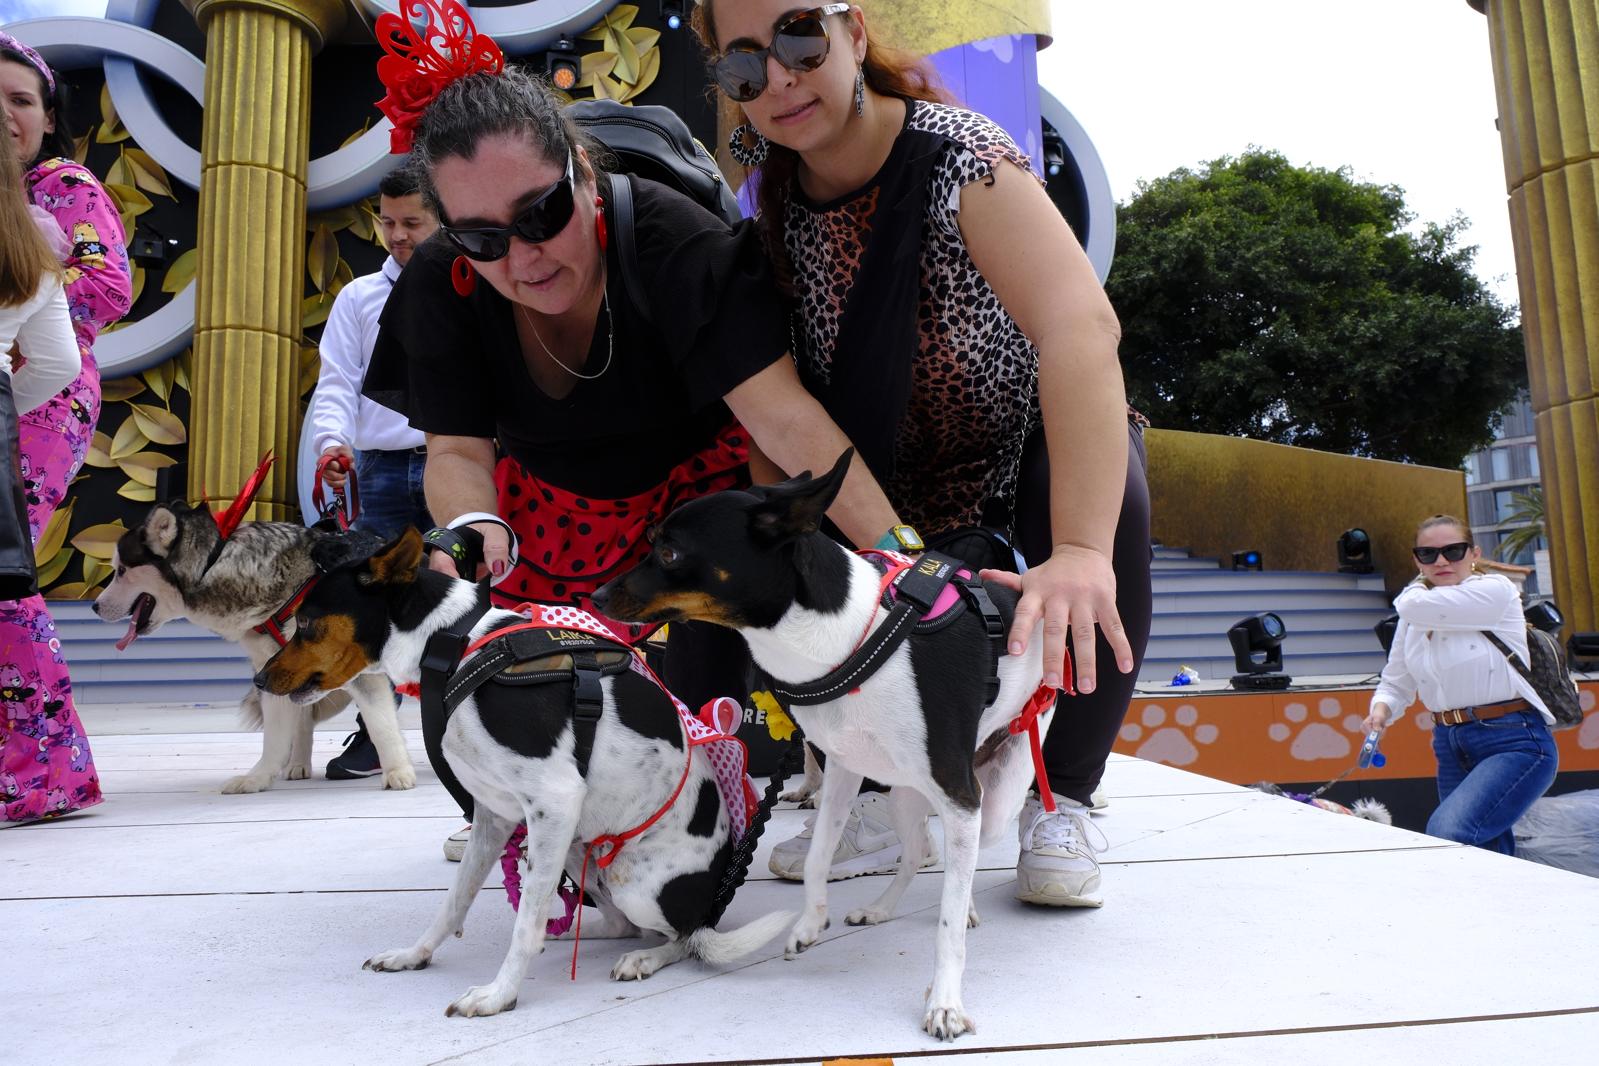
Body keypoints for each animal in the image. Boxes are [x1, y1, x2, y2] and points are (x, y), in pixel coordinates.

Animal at [91, 505, 418, 795]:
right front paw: (257, 778)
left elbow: (381, 724)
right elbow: (274, 737)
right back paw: (298, 763)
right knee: (302, 720)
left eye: (122, 571)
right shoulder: (272, 670)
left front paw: (397, 771)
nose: (94, 606)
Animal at [251, 530, 793, 1022]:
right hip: (575, 847)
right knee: (620, 922)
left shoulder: (555, 800)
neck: (456, 646)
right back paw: (575, 931)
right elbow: (456, 901)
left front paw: (499, 994)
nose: (258, 679)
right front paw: (415, 955)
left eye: (307, 623)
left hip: (628, 877)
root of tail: (714, 897)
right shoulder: (495, 815)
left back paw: (644, 956)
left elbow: (524, 924)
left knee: (682, 937)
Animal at [594, 453, 1055, 1042]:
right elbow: (817, 855)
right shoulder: (842, 771)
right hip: (906, 794)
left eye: (670, 552)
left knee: (963, 856)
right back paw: (881, 908)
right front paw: (811, 921)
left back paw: (964, 902)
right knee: (919, 850)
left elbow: (948, 924)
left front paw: (945, 1001)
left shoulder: (958, 794)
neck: (852, 638)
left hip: (989, 798)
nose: (595, 597)